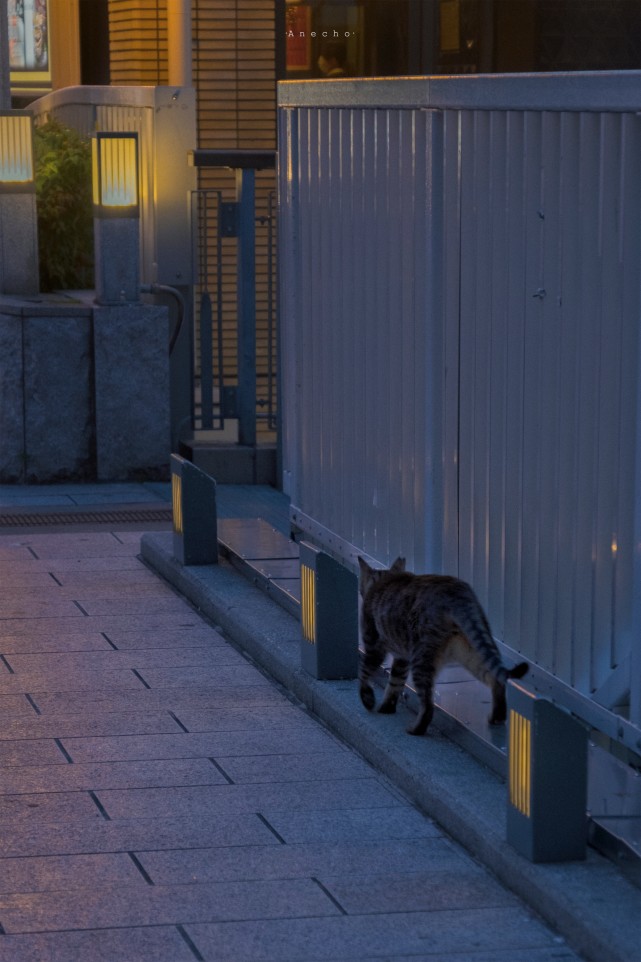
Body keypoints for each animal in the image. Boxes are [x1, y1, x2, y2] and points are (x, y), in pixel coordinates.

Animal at [358, 556, 528, 736]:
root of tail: (456, 592)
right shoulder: (401, 658)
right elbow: (395, 682)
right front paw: (387, 707)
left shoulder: (374, 645)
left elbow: (364, 671)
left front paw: (367, 699)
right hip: (472, 651)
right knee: (496, 678)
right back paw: (497, 716)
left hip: (421, 658)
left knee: (428, 705)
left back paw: (416, 729)